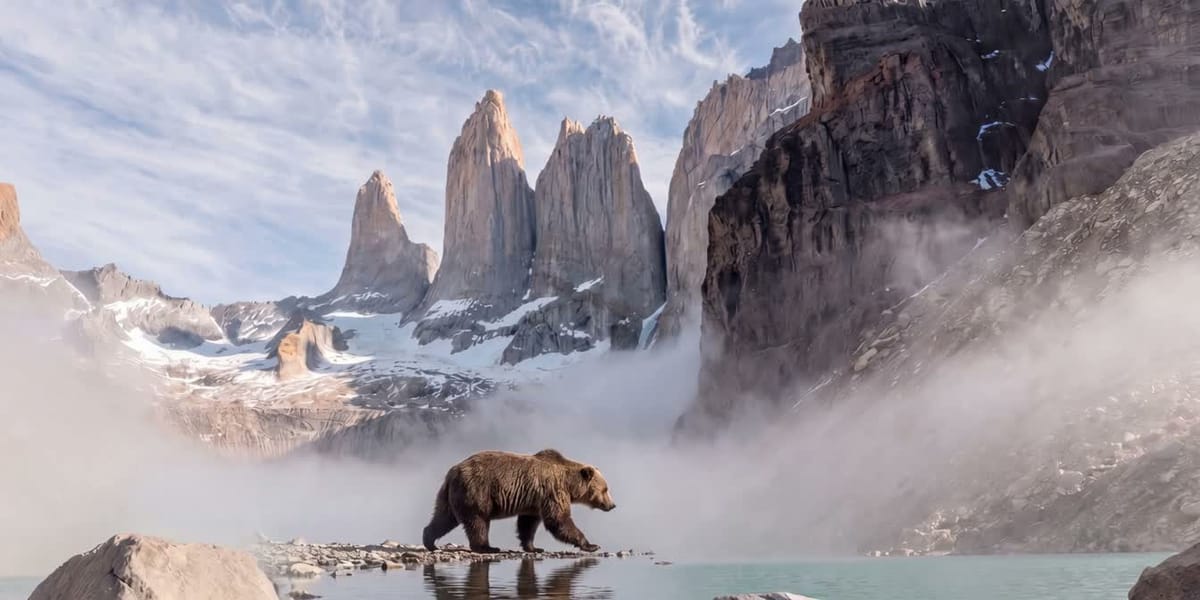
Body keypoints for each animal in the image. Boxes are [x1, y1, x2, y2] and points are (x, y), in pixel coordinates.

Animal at [421, 448, 617, 553]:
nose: (612, 505)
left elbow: (527, 524)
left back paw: (430, 542)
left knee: (444, 518)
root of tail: (452, 471)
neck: (570, 484)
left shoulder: (534, 501)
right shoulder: (553, 491)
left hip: (449, 495)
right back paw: (487, 547)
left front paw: (533, 547)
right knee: (478, 520)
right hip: (477, 491)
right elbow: (559, 520)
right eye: (605, 489)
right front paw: (591, 545)